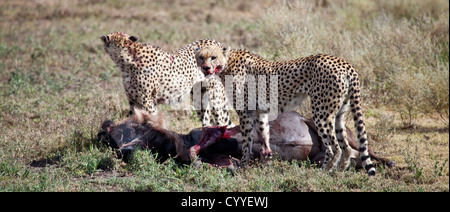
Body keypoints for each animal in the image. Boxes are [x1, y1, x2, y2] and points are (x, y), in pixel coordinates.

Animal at [100, 31, 230, 126]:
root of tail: (215, 42)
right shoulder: (133, 101)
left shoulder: (148, 102)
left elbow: (153, 122)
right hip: (199, 96)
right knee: (207, 121)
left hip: (215, 98)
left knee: (221, 122)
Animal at [195, 45, 374, 176]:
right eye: (201, 57)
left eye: (213, 57)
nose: (206, 67)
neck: (227, 62)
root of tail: (343, 62)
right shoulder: (260, 112)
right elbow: (264, 137)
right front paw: (265, 163)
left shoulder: (246, 113)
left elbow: (247, 142)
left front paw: (244, 166)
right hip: (338, 114)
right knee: (346, 146)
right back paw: (339, 171)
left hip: (321, 113)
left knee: (334, 146)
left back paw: (325, 171)